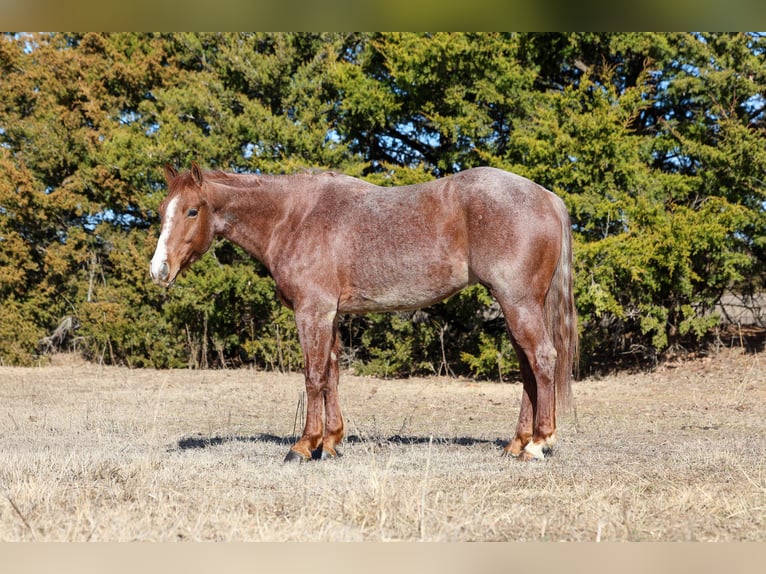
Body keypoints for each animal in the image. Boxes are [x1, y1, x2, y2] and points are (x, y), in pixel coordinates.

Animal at [150, 162, 578, 462]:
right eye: (161, 210)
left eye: (192, 211)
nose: (159, 270)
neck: (293, 218)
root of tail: (546, 196)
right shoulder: (332, 315)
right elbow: (332, 374)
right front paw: (331, 443)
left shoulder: (313, 311)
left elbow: (313, 376)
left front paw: (303, 445)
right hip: (515, 306)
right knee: (528, 369)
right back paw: (516, 443)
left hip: (518, 303)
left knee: (543, 360)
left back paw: (537, 444)